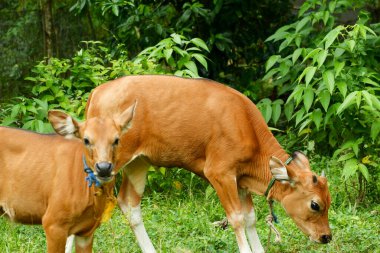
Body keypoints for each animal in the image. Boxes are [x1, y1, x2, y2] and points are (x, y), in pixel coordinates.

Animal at [84, 75, 332, 253]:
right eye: (315, 205)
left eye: (329, 201)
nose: (326, 236)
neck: (246, 125)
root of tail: (97, 92)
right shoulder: (219, 173)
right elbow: (237, 219)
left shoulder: (241, 179)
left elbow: (251, 219)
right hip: (104, 165)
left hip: (138, 163)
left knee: (129, 204)